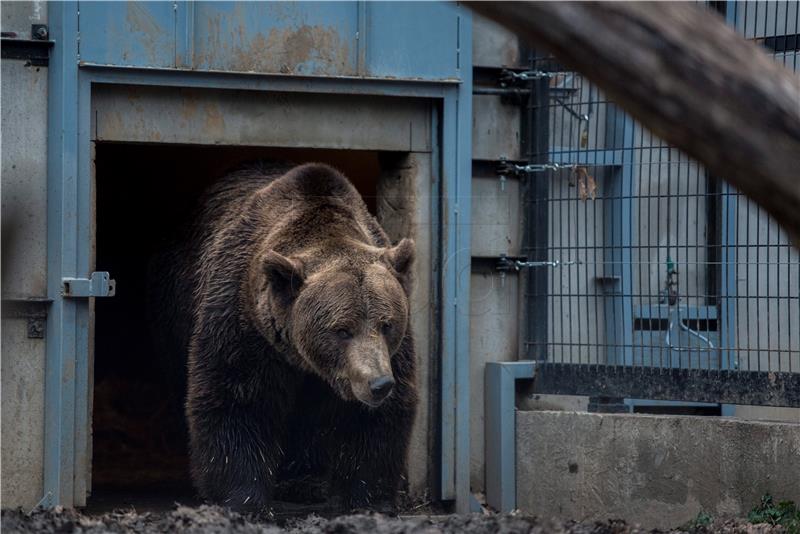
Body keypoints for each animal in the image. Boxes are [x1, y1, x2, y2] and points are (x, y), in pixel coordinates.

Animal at [154, 162, 422, 510]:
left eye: (386, 324)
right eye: (342, 329)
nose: (378, 384)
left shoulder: (390, 354)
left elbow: (373, 420)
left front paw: (367, 496)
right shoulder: (243, 324)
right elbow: (238, 399)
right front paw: (243, 497)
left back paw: (304, 480)